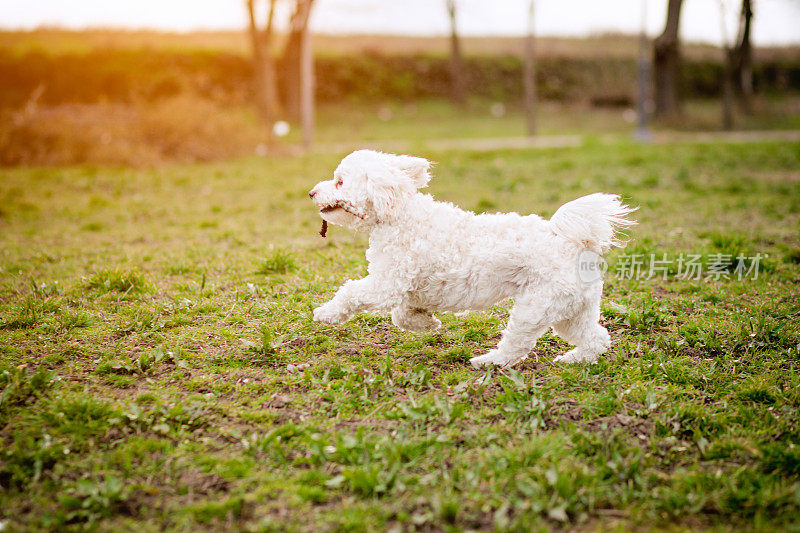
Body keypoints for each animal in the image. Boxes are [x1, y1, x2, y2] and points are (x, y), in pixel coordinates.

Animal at [310, 148, 636, 368]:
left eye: (339, 181)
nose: (312, 192)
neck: (400, 215)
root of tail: (573, 240)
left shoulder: (386, 284)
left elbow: (352, 293)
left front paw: (325, 313)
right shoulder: (407, 286)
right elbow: (402, 314)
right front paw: (426, 322)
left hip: (536, 306)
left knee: (517, 346)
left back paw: (488, 362)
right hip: (571, 309)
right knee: (596, 338)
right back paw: (575, 359)